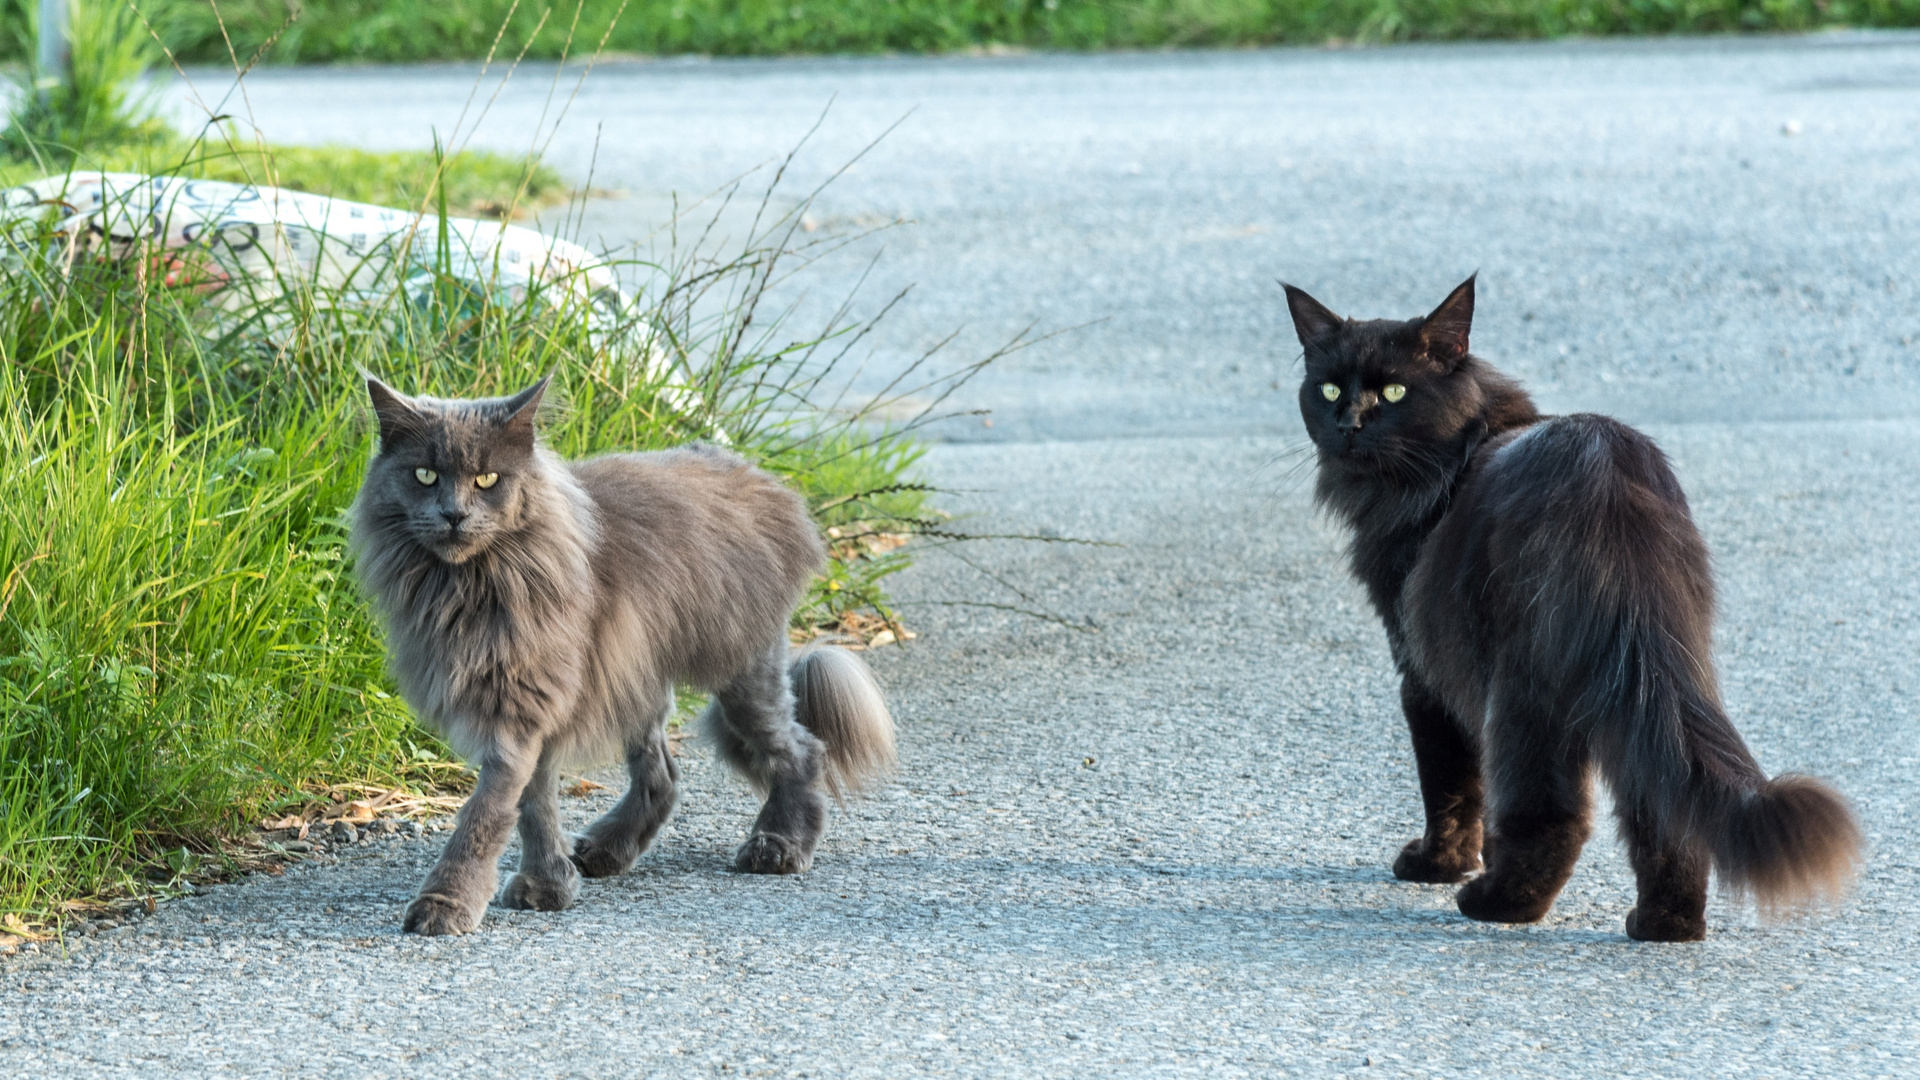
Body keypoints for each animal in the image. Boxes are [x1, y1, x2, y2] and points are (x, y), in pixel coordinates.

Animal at [351, 374, 890, 930]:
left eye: (487, 479)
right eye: (424, 475)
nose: (453, 514)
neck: (472, 583)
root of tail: (761, 480)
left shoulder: (525, 700)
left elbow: (489, 809)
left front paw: (448, 901)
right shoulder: (534, 699)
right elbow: (533, 802)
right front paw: (550, 883)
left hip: (742, 669)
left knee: (800, 749)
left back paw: (779, 844)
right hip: (636, 678)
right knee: (663, 775)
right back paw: (603, 851)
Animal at [1290, 274, 1858, 933]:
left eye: (1396, 391)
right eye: (1329, 388)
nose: (1349, 422)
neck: (1458, 452)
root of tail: (1606, 481)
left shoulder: (1422, 671)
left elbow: (1452, 785)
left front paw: (1439, 865)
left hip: (1524, 691)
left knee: (1554, 816)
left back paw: (1498, 904)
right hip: (1647, 685)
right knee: (1664, 806)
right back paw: (1665, 926)